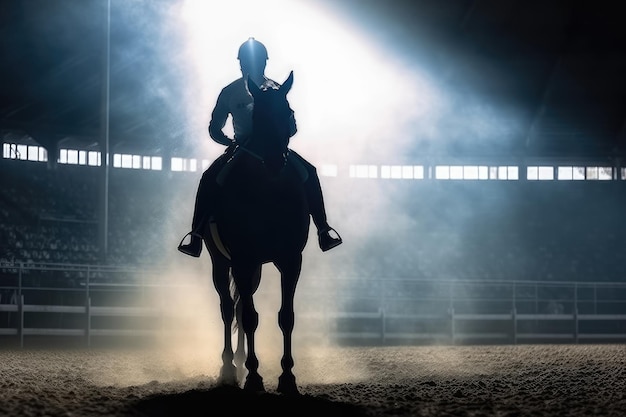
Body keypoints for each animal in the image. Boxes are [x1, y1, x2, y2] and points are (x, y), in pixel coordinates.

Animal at [201, 71, 308, 394]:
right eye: (257, 116)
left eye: (288, 113)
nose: (274, 162)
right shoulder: (243, 259)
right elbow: (249, 318)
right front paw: (254, 378)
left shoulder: (290, 260)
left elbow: (286, 317)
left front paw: (287, 377)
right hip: (221, 262)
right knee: (228, 309)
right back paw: (229, 369)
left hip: (254, 270)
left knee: (237, 308)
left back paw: (240, 361)